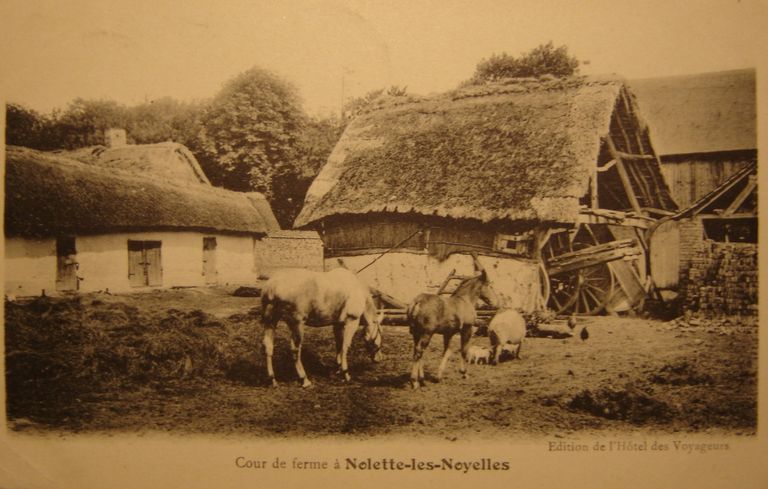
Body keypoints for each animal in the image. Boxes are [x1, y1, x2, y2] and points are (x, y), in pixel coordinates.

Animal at [408, 255, 498, 388]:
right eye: (489, 285)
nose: (495, 302)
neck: (465, 300)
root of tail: (417, 301)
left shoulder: (448, 333)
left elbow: (447, 351)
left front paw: (439, 376)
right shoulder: (467, 329)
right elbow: (464, 349)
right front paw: (464, 372)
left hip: (416, 332)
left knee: (417, 351)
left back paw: (422, 379)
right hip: (427, 333)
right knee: (419, 351)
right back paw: (415, 381)